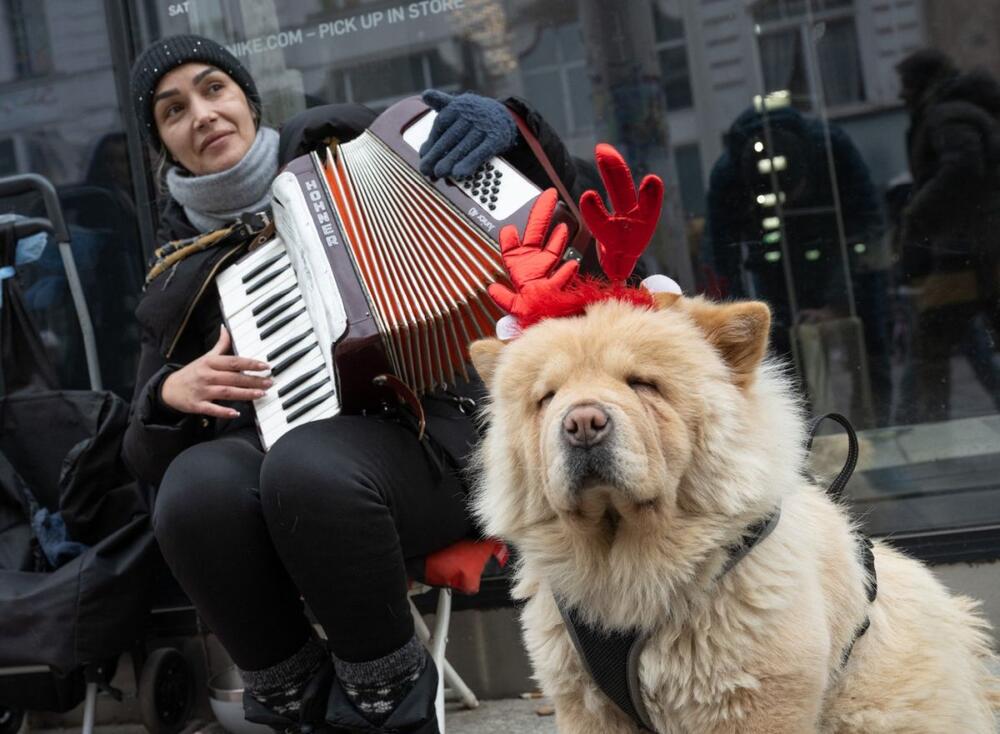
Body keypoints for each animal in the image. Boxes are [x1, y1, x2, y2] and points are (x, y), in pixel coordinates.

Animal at [470, 294, 1000, 734]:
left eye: (642, 383)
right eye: (546, 397)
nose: (582, 423)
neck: (631, 572)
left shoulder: (754, 700)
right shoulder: (585, 703)